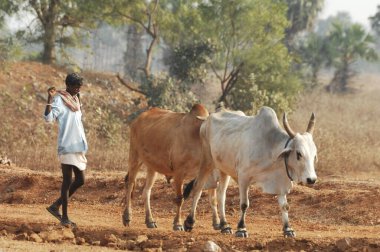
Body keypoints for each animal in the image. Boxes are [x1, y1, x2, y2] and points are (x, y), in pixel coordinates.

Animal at [184, 106, 318, 238]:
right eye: (299, 154)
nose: (311, 179)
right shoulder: (244, 177)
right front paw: (241, 228)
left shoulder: (279, 182)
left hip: (223, 168)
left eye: (314, 155)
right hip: (207, 160)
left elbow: (284, 206)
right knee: (198, 187)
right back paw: (189, 222)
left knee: (221, 194)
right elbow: (244, 204)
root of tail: (207, 119)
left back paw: (225, 225)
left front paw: (288, 229)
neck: (270, 148)